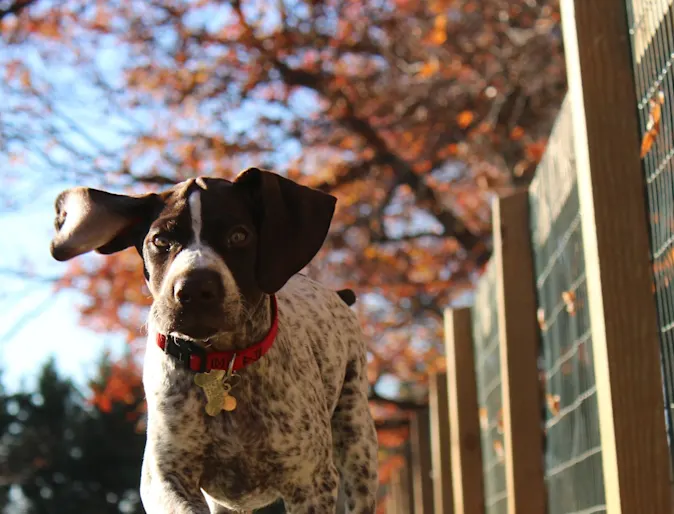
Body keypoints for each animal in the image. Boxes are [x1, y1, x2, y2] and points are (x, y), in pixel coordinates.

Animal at [48, 167, 378, 508]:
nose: (193, 289)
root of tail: (338, 295)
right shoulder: (165, 478)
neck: (221, 362)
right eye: (161, 241)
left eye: (239, 236)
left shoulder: (310, 483)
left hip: (357, 448)